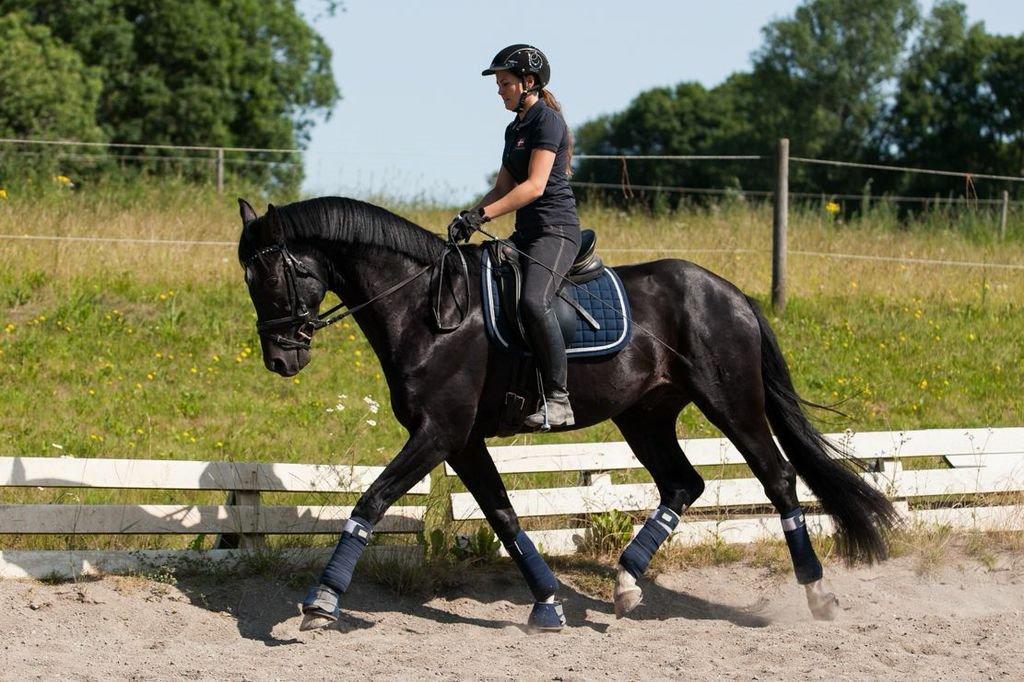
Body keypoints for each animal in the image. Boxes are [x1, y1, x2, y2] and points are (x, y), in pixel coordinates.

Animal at [239, 193, 897, 630]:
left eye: (269, 274)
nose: (279, 358)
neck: (425, 308)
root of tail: (731, 293)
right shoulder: (462, 439)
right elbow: (503, 516)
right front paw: (548, 604)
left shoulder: (438, 433)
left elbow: (370, 501)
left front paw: (322, 600)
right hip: (644, 416)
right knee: (683, 484)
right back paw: (626, 585)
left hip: (730, 403)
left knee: (779, 477)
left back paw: (818, 595)